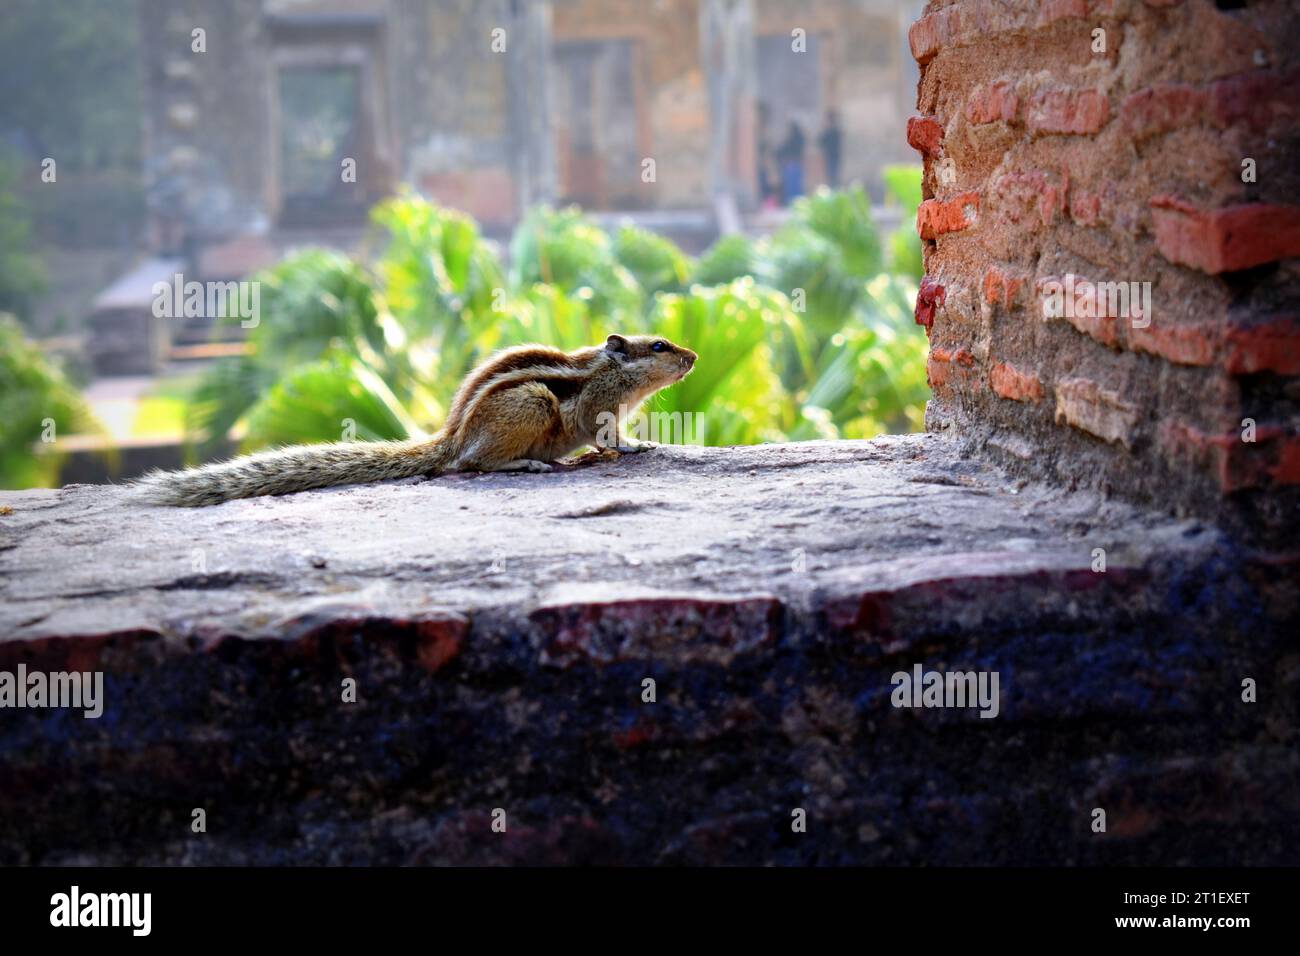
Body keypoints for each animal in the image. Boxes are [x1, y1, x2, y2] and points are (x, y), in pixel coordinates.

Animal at [133, 333, 697, 507]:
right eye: (659, 346)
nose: (693, 357)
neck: (613, 373)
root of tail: (451, 437)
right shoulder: (595, 407)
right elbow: (607, 437)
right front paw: (633, 449)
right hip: (533, 403)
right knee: (470, 464)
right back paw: (525, 465)